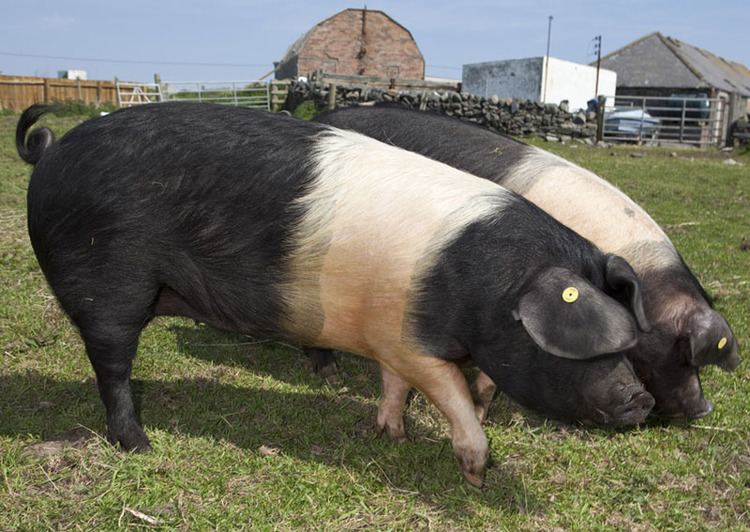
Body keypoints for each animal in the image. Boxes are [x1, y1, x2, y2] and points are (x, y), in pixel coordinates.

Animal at [14, 101, 656, 486]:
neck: (482, 288)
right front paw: (476, 474)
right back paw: (141, 447)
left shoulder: (392, 335)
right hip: (105, 284)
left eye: (630, 345)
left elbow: (395, 387)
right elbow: (451, 396)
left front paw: (392, 434)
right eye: (596, 346)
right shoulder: (418, 344)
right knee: (112, 367)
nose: (642, 399)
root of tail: (50, 151)